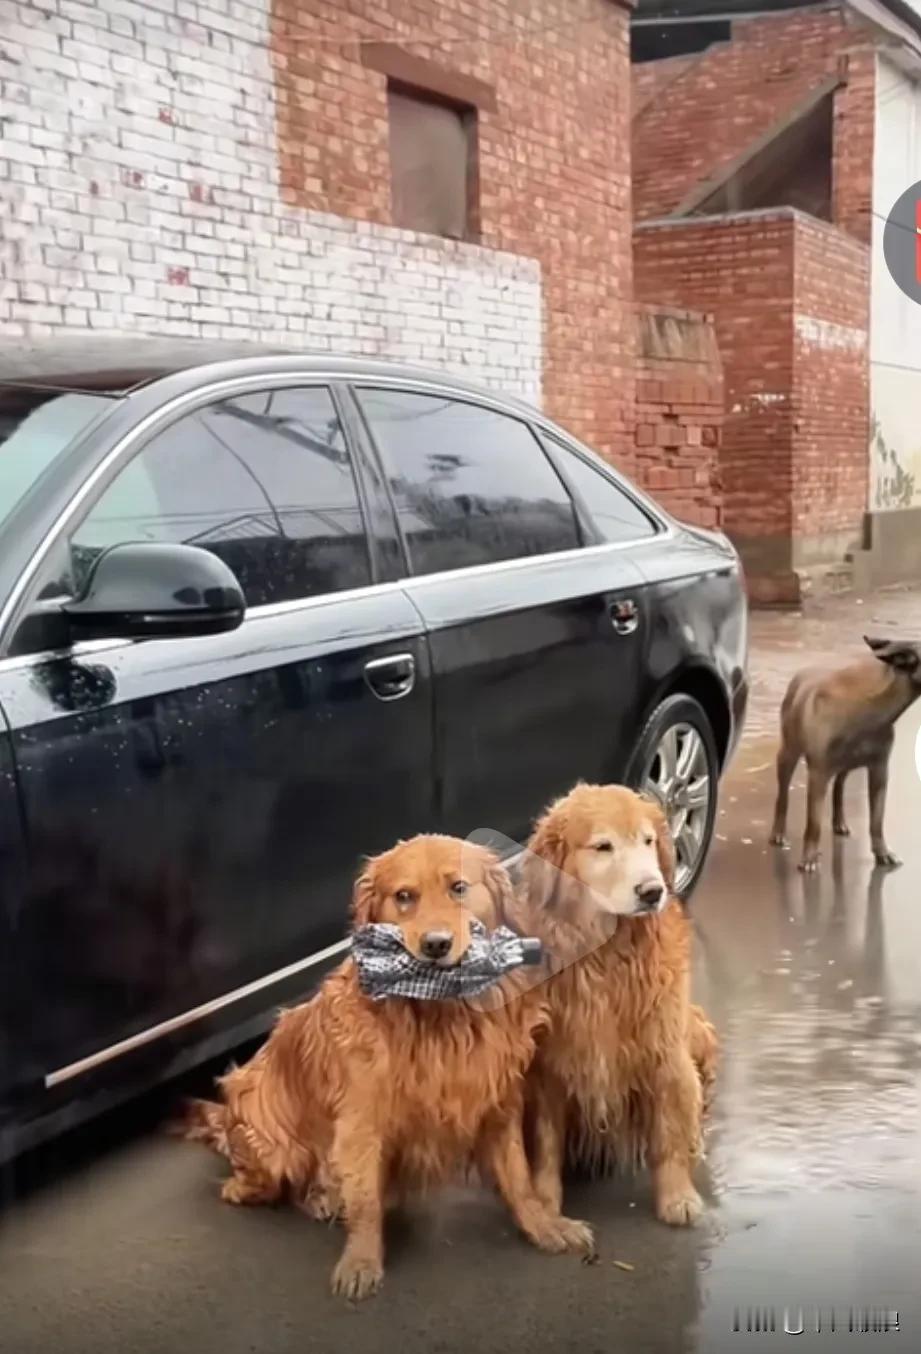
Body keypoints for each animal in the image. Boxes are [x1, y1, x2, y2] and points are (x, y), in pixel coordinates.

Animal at [180, 834, 593, 1299]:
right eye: (404, 896)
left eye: (458, 888)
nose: (435, 944)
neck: (442, 1018)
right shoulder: (362, 1122)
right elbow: (365, 1202)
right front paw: (361, 1260)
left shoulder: (497, 1107)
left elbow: (519, 1180)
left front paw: (545, 1226)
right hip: (265, 1130)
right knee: (256, 1185)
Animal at [511, 790, 720, 1234]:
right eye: (603, 846)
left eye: (647, 841)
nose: (652, 891)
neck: (605, 956)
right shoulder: (549, 1068)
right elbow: (546, 1145)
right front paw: (546, 1205)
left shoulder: (664, 1053)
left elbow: (670, 1132)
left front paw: (677, 1197)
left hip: (696, 1027)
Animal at [769, 636, 921, 871]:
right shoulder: (818, 773)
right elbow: (813, 823)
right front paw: (809, 858)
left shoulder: (879, 771)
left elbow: (877, 820)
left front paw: (882, 852)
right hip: (788, 754)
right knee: (783, 795)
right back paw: (778, 832)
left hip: (846, 764)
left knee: (839, 785)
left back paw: (839, 821)